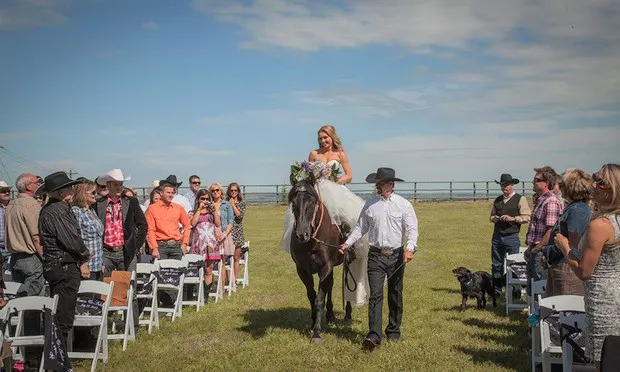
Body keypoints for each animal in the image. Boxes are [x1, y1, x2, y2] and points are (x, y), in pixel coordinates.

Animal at [288, 174, 352, 342]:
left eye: (312, 201)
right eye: (293, 203)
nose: (301, 234)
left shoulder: (325, 267)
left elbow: (319, 299)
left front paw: (316, 332)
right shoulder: (302, 269)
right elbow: (312, 295)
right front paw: (313, 323)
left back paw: (348, 314)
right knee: (330, 286)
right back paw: (329, 315)